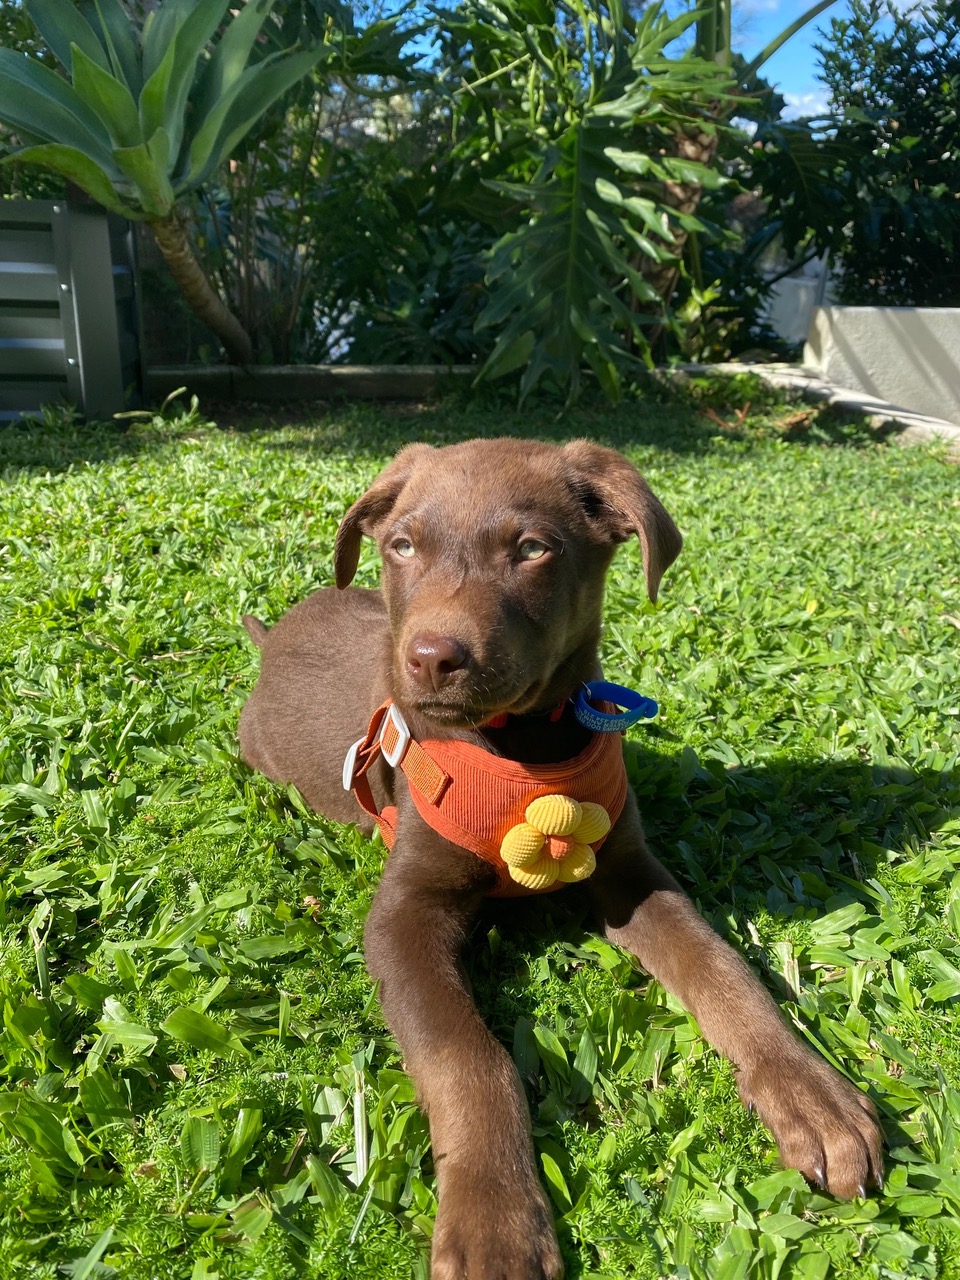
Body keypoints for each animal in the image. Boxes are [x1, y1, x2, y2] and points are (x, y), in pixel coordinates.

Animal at [239, 438, 882, 1280]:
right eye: (402, 546)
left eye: (532, 550)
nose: (432, 659)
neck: (523, 752)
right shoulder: (405, 914)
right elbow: (469, 1058)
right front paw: (495, 1219)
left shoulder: (631, 874)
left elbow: (722, 968)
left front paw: (810, 1093)